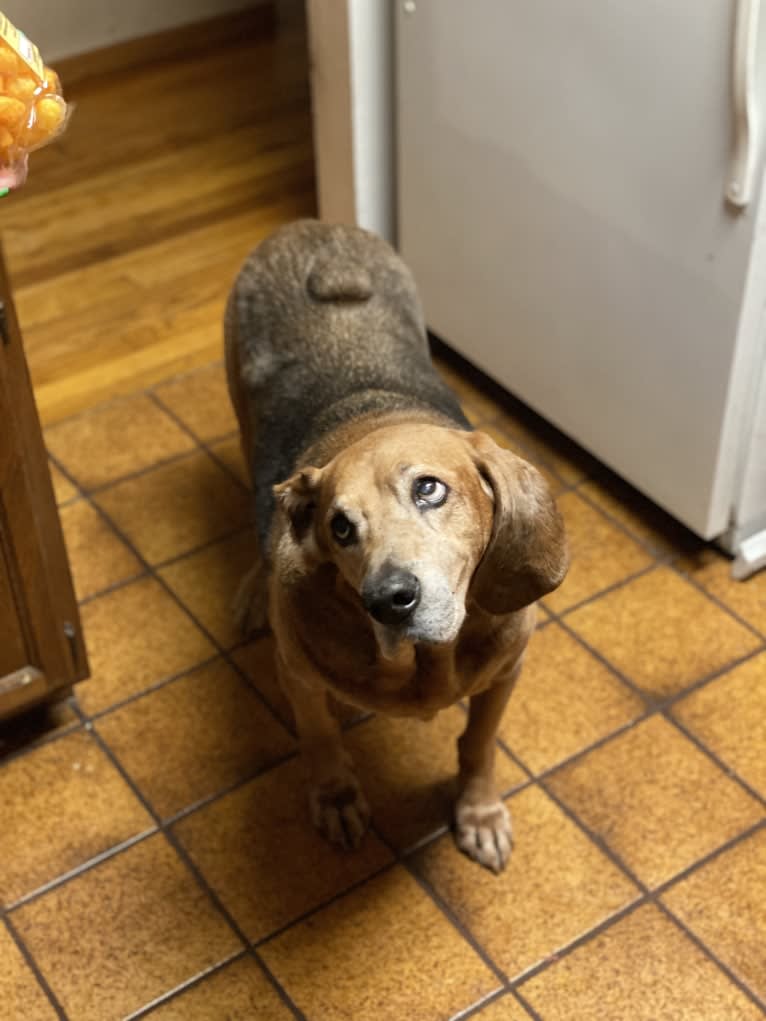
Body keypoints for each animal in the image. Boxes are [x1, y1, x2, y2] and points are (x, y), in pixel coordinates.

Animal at [224, 219, 567, 873]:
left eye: (429, 488)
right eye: (340, 528)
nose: (389, 600)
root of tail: (315, 228)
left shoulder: (507, 671)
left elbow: (479, 743)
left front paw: (479, 811)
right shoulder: (298, 674)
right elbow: (320, 738)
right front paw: (336, 796)